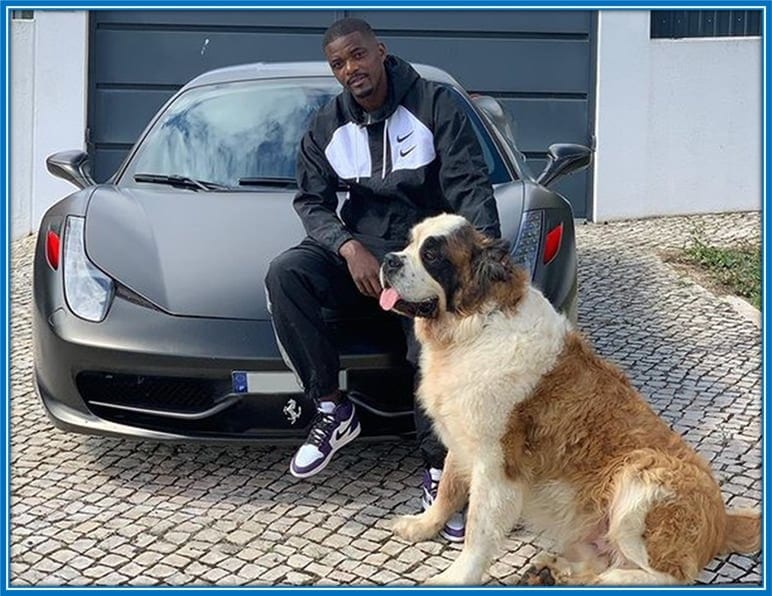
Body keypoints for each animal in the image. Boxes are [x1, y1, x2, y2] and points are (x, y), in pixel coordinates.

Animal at [378, 212, 760, 584]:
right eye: (409, 243)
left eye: (431, 254)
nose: (388, 260)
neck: (476, 326)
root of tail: (724, 519)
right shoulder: (462, 437)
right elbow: (448, 489)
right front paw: (422, 525)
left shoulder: (495, 463)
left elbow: (478, 530)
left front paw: (456, 576)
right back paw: (552, 572)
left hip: (640, 477)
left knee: (665, 576)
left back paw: (595, 580)